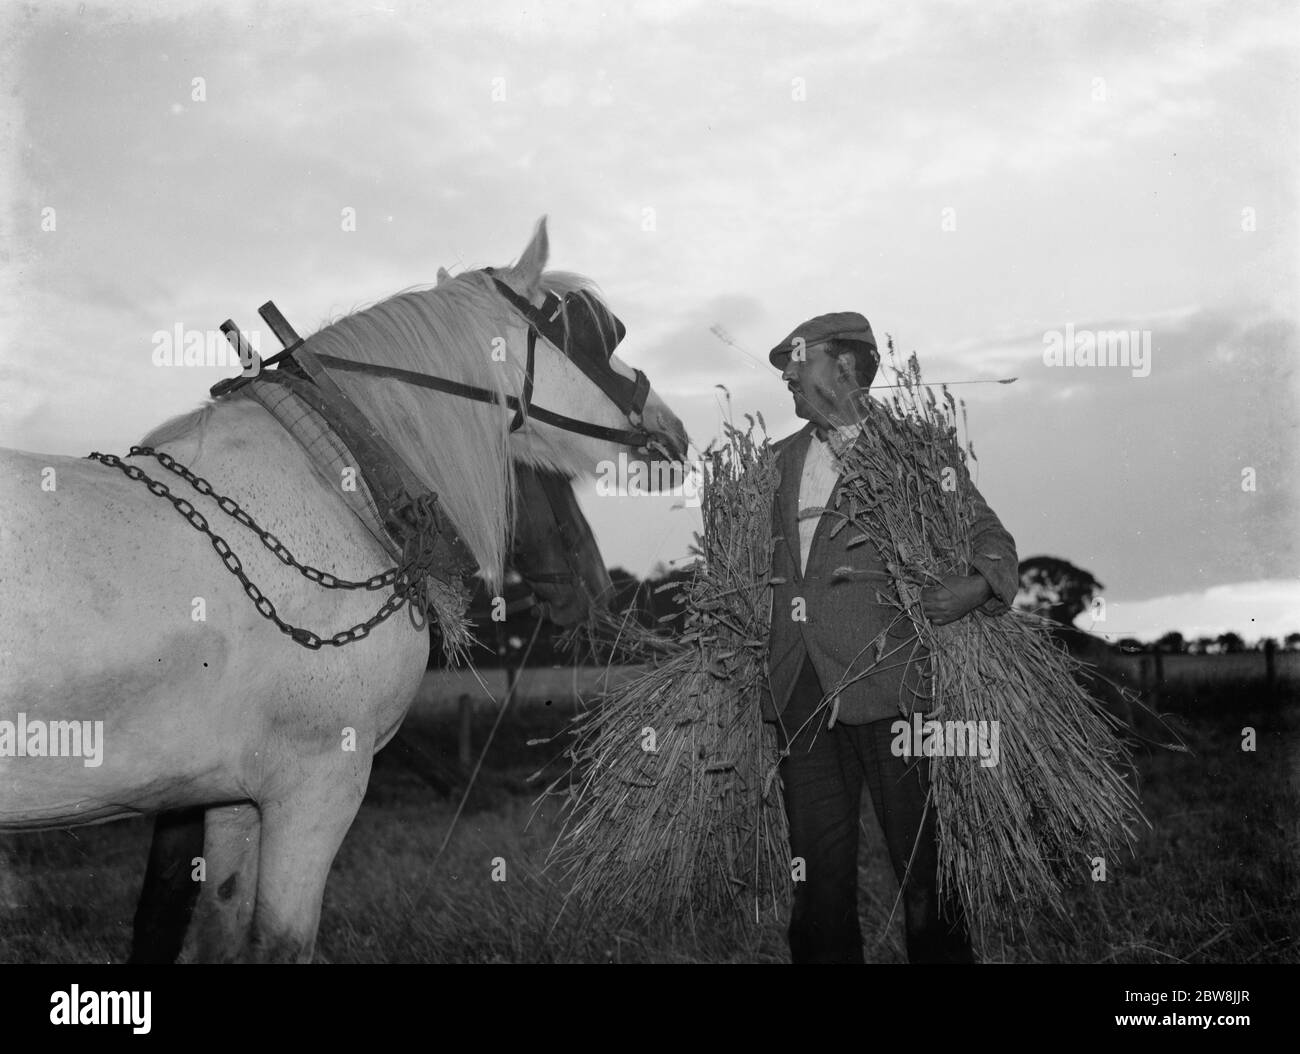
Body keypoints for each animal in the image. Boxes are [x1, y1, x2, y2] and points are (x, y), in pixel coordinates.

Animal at [0, 218, 691, 961]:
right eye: (600, 335)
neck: (341, 478)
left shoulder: (232, 797)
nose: (675, 433)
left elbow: (216, 931)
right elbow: (278, 942)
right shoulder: (318, 782)